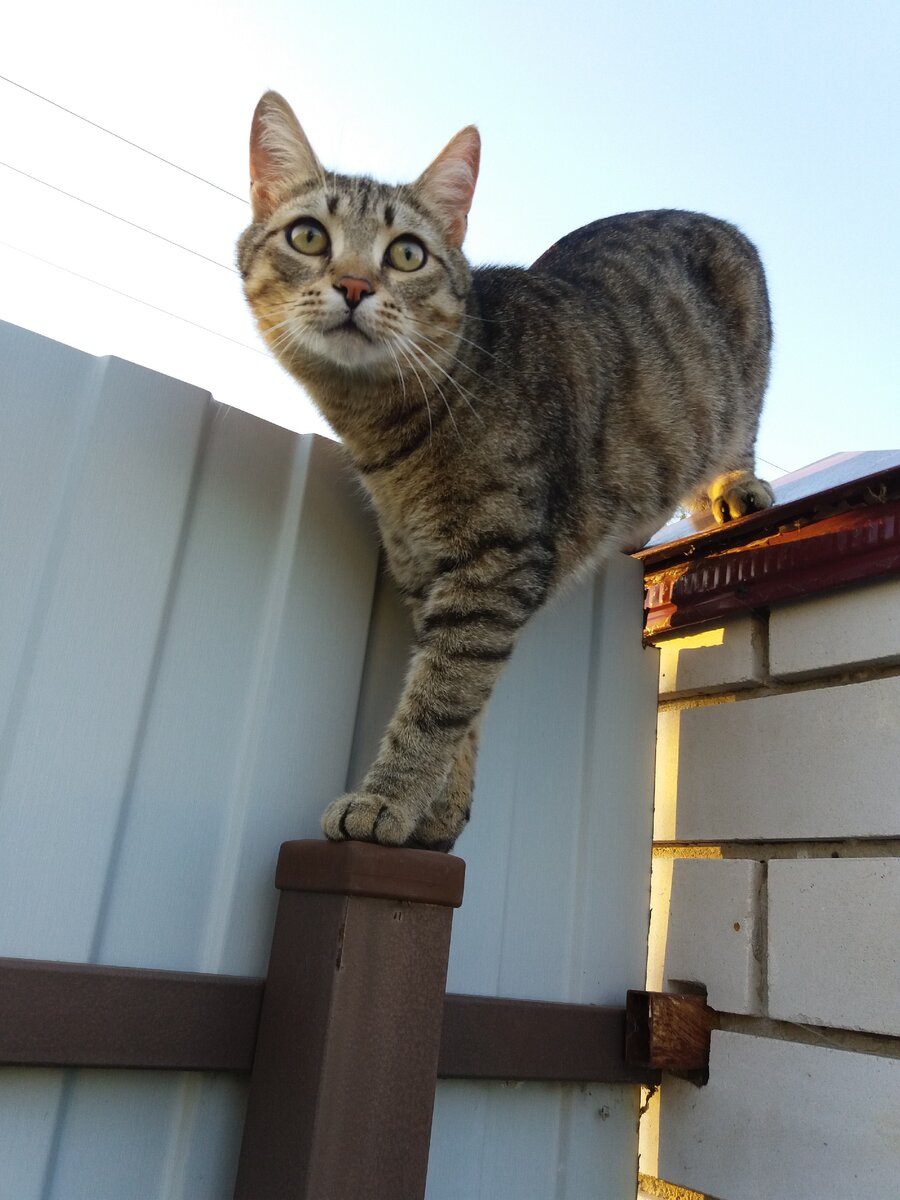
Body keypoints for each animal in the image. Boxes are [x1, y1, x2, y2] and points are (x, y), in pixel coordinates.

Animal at [237, 91, 777, 854]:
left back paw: (733, 491)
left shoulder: (493, 568)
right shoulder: (428, 577)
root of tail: (708, 214)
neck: (388, 429)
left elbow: (437, 702)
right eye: (309, 237)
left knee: (734, 444)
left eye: (407, 253)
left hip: (740, 386)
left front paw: (385, 800)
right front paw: (440, 813)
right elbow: (462, 707)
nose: (354, 285)